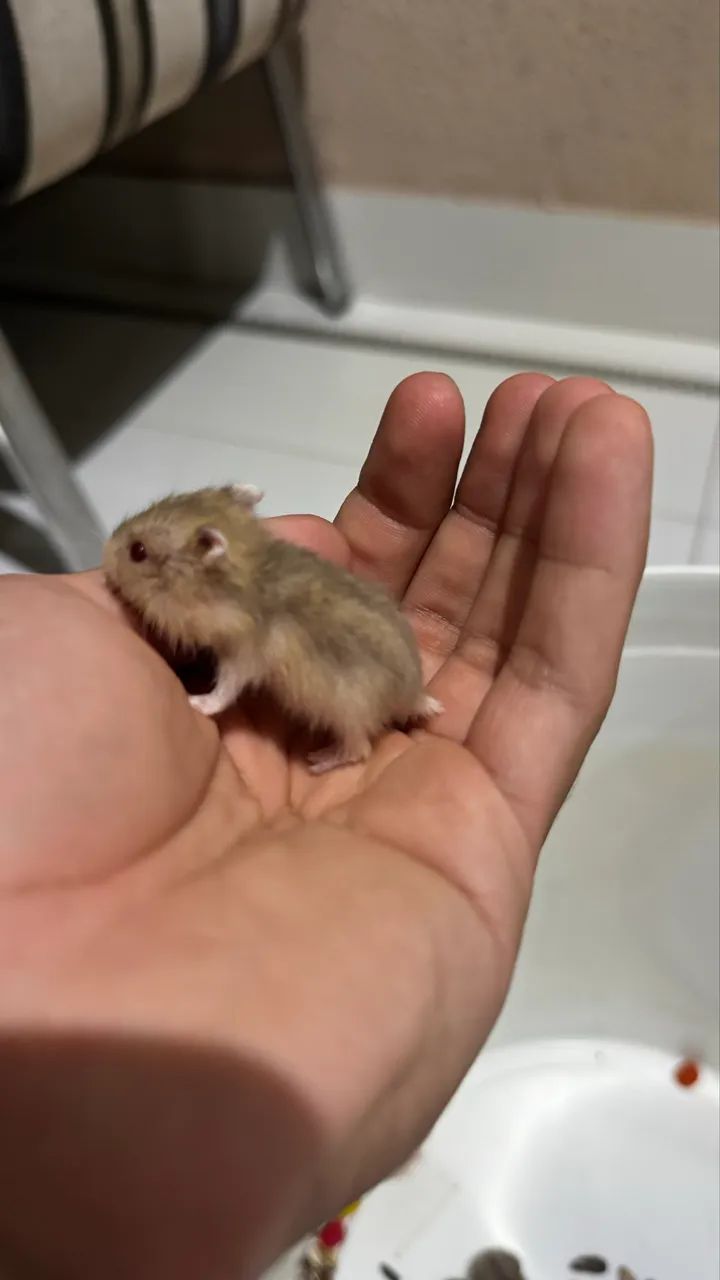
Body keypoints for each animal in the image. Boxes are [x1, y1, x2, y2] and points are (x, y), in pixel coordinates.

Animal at [103, 484, 441, 773]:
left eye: (138, 551)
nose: (105, 555)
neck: (242, 581)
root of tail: (413, 696)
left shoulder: (242, 658)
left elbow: (224, 691)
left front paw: (196, 702)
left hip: (351, 713)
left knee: (359, 750)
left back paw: (318, 760)